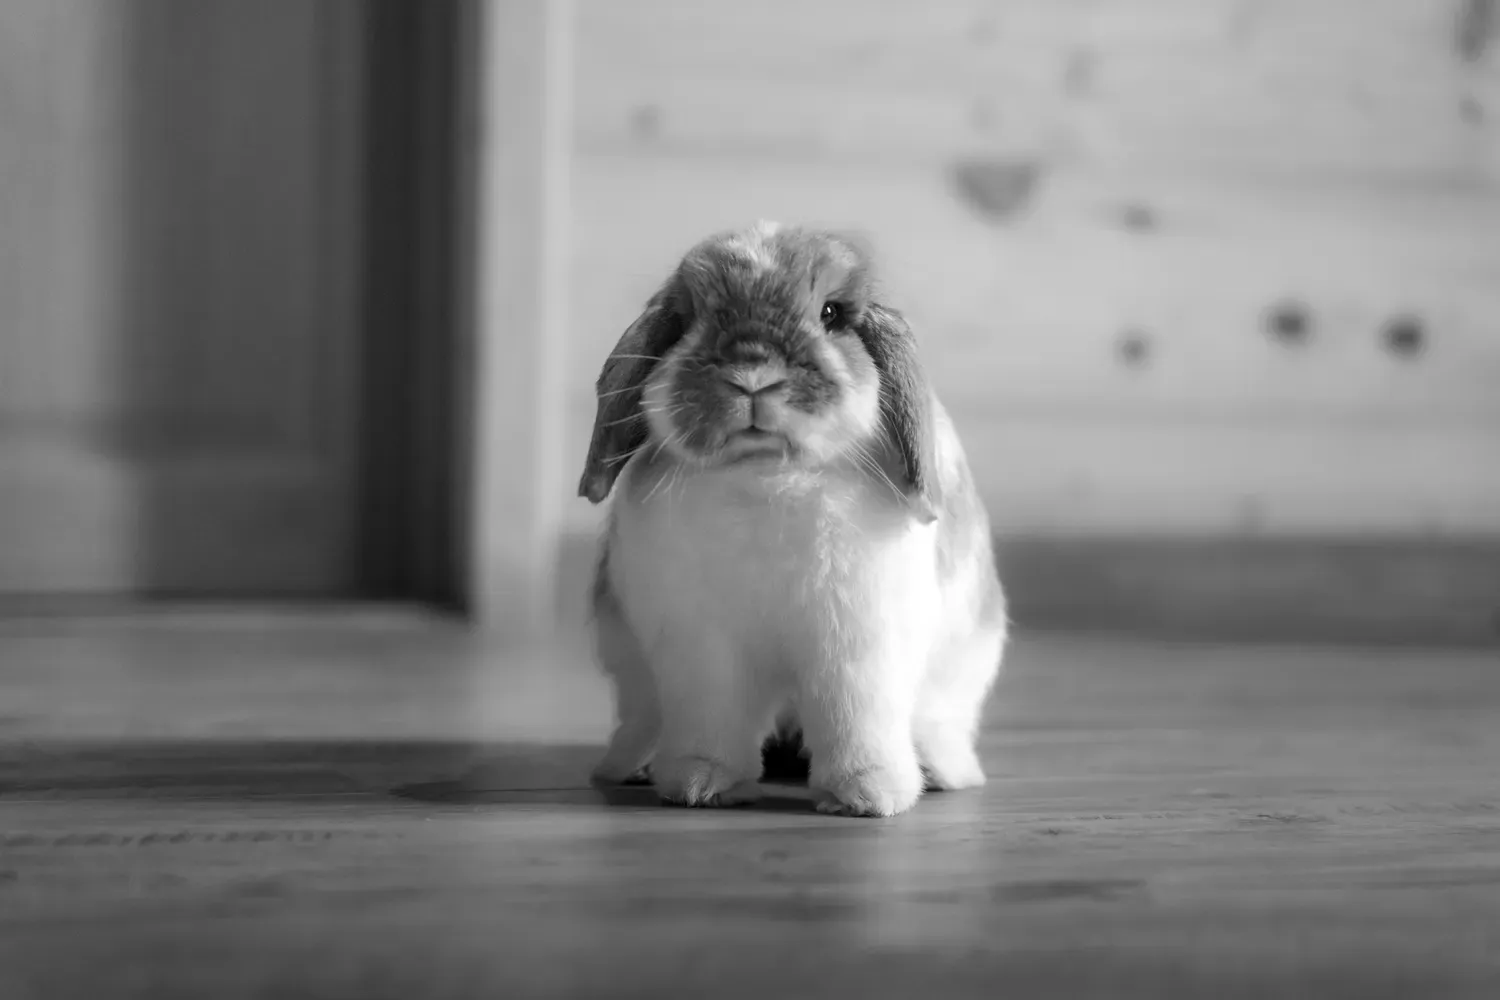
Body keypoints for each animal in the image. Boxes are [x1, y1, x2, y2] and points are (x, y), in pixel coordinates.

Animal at [577, 221, 1007, 817]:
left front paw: (869, 795)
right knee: (642, 722)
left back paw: (942, 773)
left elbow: (856, 720)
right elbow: (712, 718)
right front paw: (701, 784)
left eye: (831, 313)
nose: (752, 377)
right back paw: (635, 766)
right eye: (685, 320)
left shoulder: (857, 644)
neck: (769, 479)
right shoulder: (702, 648)